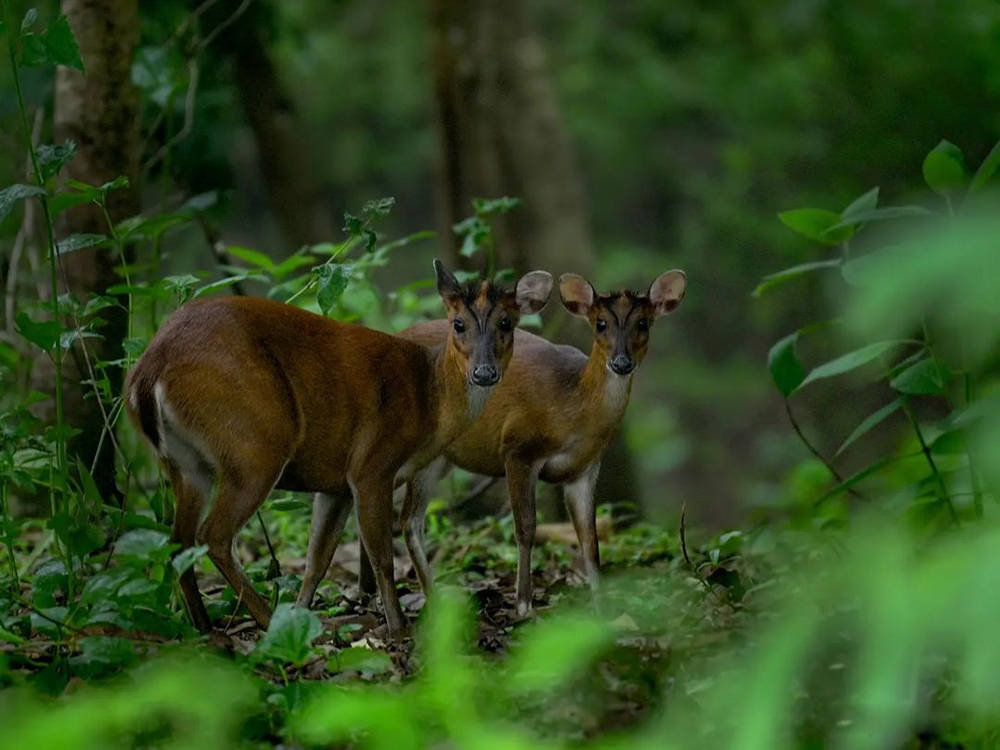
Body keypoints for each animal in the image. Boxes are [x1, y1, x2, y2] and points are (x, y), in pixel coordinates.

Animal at [125, 262, 556, 636]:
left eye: (506, 322)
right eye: (458, 324)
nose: (484, 372)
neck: (429, 399)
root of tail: (147, 371)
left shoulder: (335, 483)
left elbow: (318, 559)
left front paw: (302, 617)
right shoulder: (370, 465)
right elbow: (382, 556)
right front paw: (398, 628)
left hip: (185, 464)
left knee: (178, 540)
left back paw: (205, 627)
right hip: (255, 442)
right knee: (212, 536)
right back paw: (264, 620)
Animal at [392, 270, 688, 616]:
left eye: (643, 323)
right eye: (600, 323)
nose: (621, 362)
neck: (571, 408)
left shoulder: (585, 468)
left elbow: (590, 538)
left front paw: (602, 608)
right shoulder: (518, 448)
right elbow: (525, 528)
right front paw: (523, 605)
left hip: (437, 458)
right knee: (402, 517)